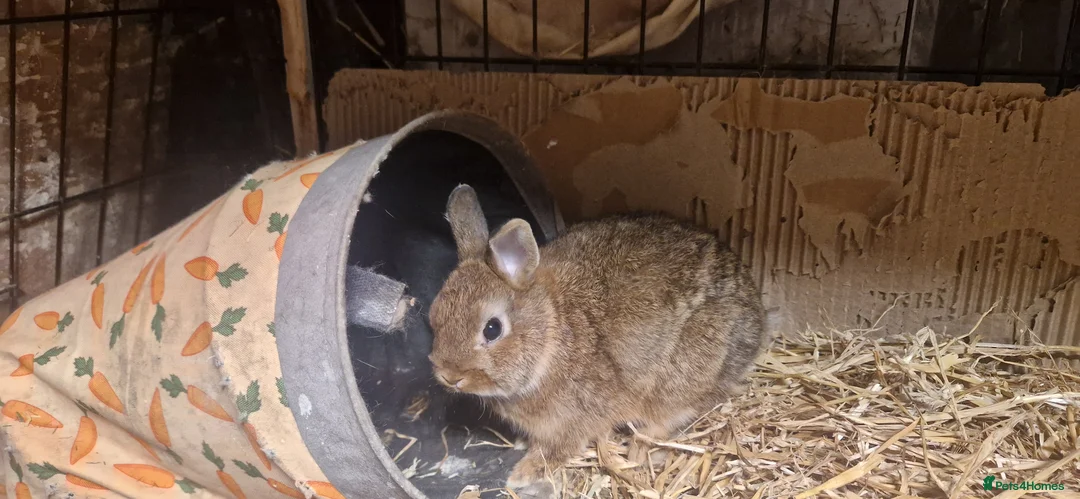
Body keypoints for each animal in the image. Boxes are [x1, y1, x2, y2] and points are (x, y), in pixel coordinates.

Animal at [427, 184, 769, 494]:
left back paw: (638, 449)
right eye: (433, 315)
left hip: (684, 376)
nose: (449, 377)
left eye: (492, 329)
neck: (553, 331)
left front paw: (521, 474)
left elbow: (558, 450)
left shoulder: (575, 419)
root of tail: (756, 322)